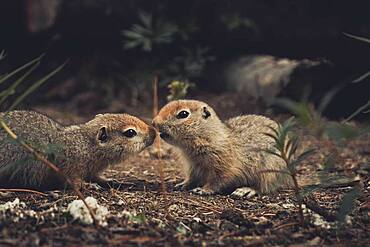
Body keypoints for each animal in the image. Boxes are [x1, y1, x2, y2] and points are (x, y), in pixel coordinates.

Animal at [0, 111, 156, 190]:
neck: (87, 145)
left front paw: (113, 181)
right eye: (130, 132)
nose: (154, 132)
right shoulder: (69, 166)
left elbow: (97, 177)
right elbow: (72, 180)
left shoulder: (91, 170)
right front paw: (87, 185)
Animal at [152, 99, 292, 196]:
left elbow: (217, 180)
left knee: (264, 187)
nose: (154, 122)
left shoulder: (223, 166)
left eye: (183, 114)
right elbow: (191, 178)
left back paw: (244, 191)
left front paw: (202, 190)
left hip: (269, 171)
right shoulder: (193, 166)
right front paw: (182, 184)